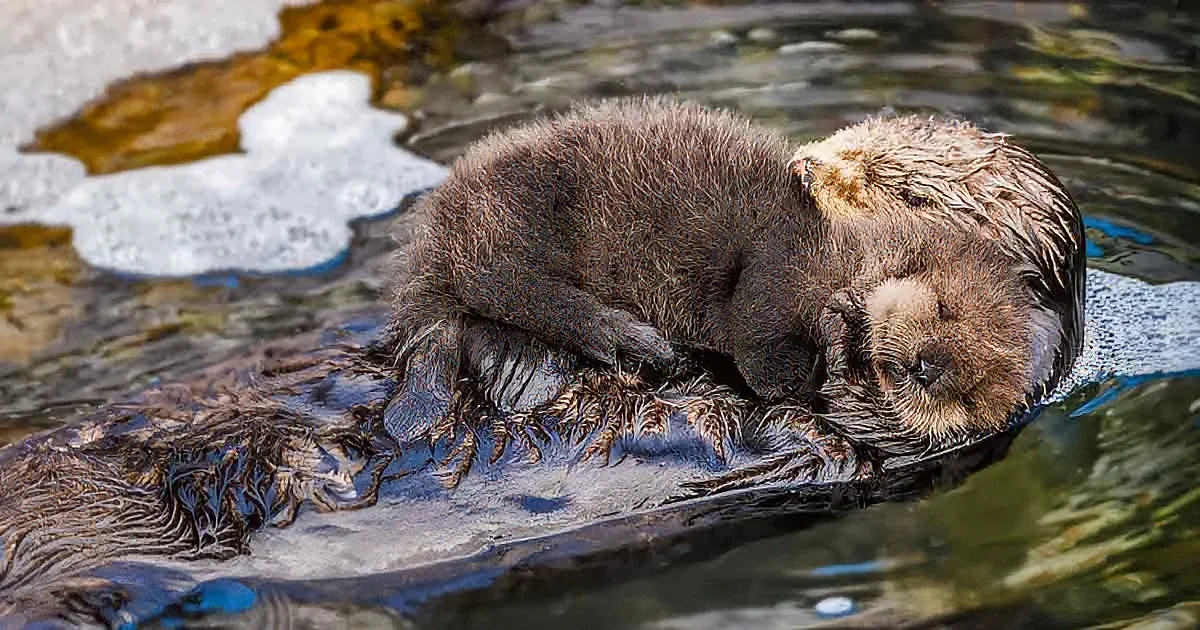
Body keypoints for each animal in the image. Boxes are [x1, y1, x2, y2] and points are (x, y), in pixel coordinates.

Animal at [386, 97, 1043, 455]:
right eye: (945, 310)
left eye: (970, 393)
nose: (931, 367)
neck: (837, 259)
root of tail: (431, 247)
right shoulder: (780, 259)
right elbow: (761, 337)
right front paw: (837, 332)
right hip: (516, 214)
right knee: (510, 280)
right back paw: (634, 340)